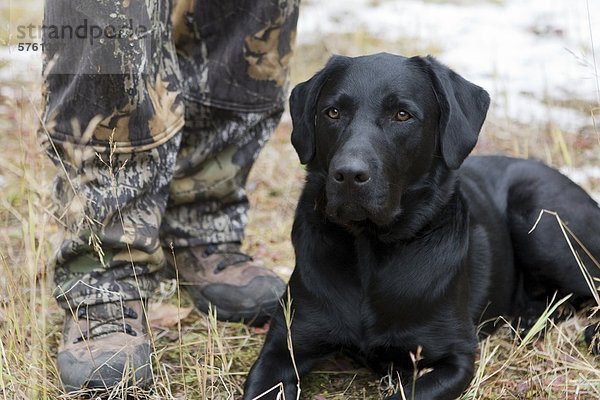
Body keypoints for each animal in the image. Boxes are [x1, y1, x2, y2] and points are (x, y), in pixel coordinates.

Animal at [241, 54, 596, 400]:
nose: (349, 174)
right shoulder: (282, 348)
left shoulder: (456, 358)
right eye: (333, 112)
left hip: (543, 220)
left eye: (402, 115)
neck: (369, 247)